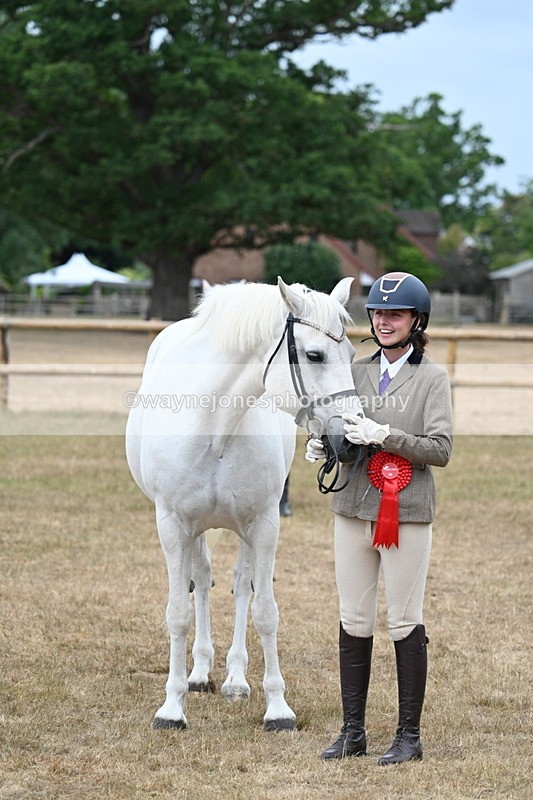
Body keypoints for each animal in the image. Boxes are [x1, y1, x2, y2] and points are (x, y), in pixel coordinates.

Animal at [125, 276, 363, 731]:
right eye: (315, 354)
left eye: (352, 355)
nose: (351, 441)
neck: (215, 427)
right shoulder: (173, 526)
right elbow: (178, 612)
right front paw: (172, 708)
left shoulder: (264, 525)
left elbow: (264, 610)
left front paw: (278, 708)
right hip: (196, 529)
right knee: (201, 581)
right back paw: (199, 673)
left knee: (239, 585)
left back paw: (235, 678)